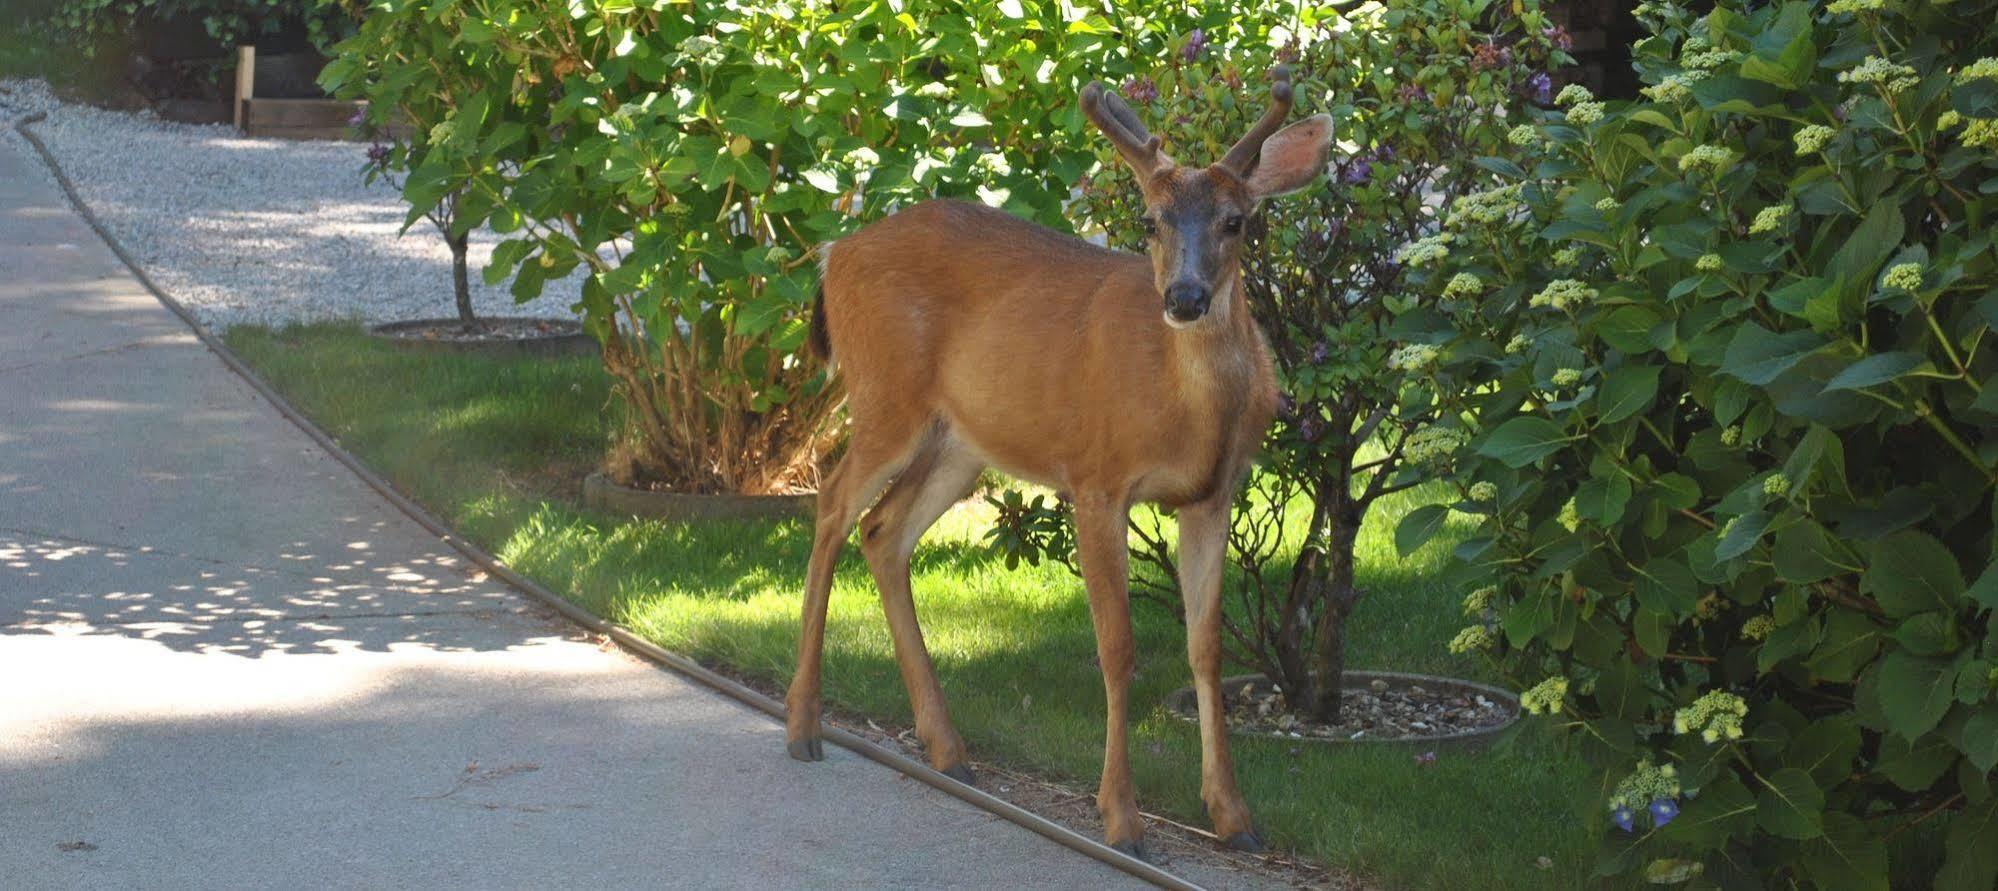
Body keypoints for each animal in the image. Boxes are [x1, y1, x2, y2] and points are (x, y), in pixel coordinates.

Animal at [787, 62, 1334, 855]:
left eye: (1237, 221)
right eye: (1149, 220)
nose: (1185, 297)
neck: (1186, 413)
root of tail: (835, 253)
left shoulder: (1214, 494)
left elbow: (1205, 646)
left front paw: (1233, 816)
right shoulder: (1097, 477)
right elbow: (1119, 646)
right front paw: (1122, 818)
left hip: (961, 443)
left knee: (883, 531)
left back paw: (948, 747)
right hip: (886, 396)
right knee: (830, 503)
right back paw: (803, 725)